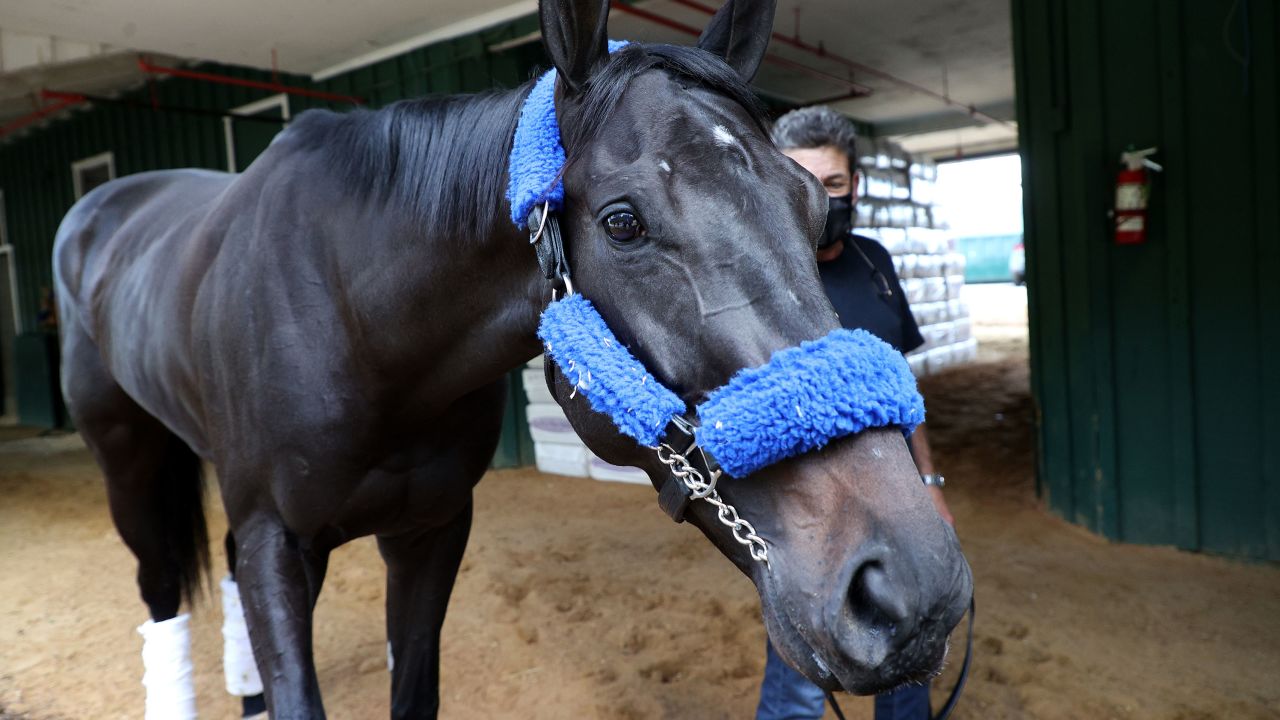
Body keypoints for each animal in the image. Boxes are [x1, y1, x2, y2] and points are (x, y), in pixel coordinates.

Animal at [49, 2, 967, 712]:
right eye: (622, 222)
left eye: (815, 207)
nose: (910, 588)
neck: (355, 322)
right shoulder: (281, 542)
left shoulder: (430, 532)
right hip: (127, 462)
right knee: (161, 591)